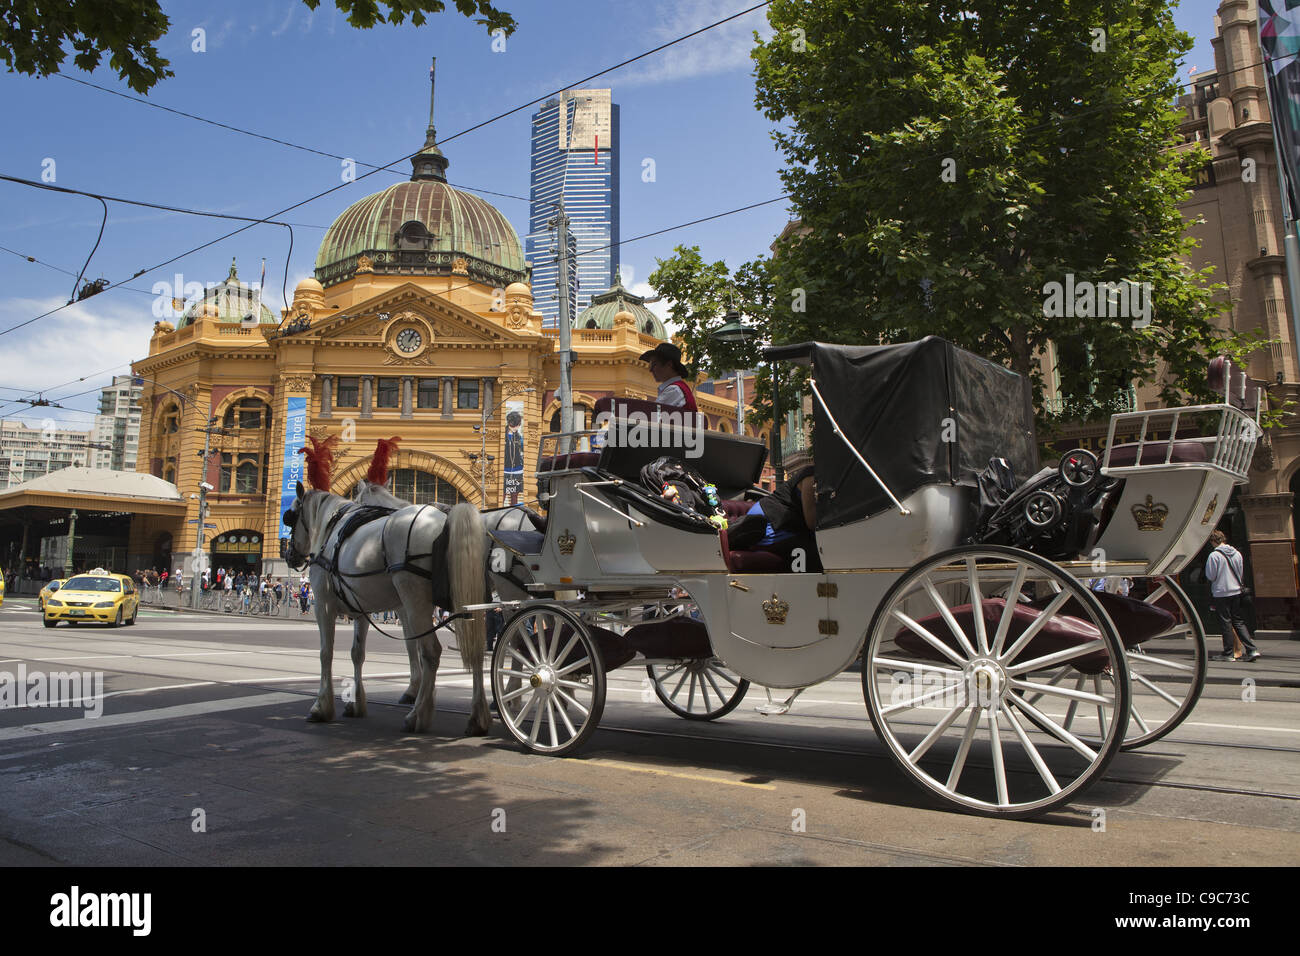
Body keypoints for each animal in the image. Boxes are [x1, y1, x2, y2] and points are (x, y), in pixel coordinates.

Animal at [282, 481, 488, 738]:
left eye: (290, 517)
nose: (289, 555)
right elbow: (358, 653)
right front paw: (356, 704)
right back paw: (477, 718)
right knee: (475, 649)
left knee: (432, 652)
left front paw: (321, 707)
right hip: (467, 597)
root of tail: (446, 518)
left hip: (416, 597)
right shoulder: (362, 608)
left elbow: (325, 653)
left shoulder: (323, 603)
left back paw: (418, 716)